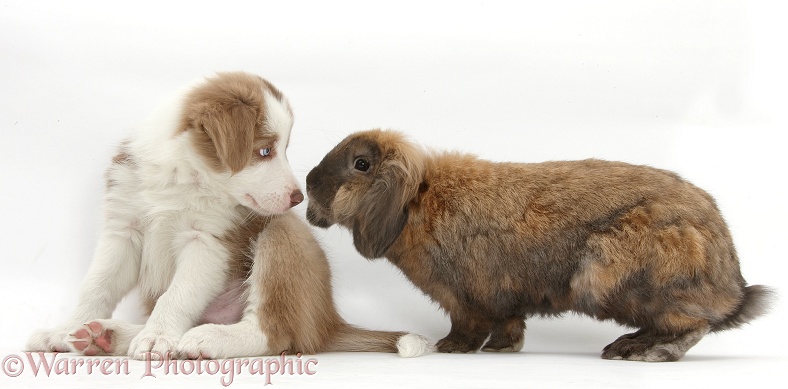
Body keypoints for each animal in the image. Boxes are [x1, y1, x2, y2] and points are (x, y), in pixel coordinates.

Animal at [26, 74, 424, 360]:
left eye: (283, 148)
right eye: (264, 151)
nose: (298, 197)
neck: (181, 176)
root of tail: (330, 321)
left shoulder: (208, 243)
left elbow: (178, 294)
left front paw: (157, 337)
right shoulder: (123, 230)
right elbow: (96, 286)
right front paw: (66, 329)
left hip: (282, 234)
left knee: (275, 332)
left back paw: (207, 338)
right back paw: (105, 335)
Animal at [304, 128, 772, 360]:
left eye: (361, 164)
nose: (309, 181)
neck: (417, 200)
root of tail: (731, 284)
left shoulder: (464, 297)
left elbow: (469, 324)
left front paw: (448, 348)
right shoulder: (501, 299)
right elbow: (510, 325)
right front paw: (501, 350)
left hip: (611, 276)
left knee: (691, 325)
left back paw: (640, 352)